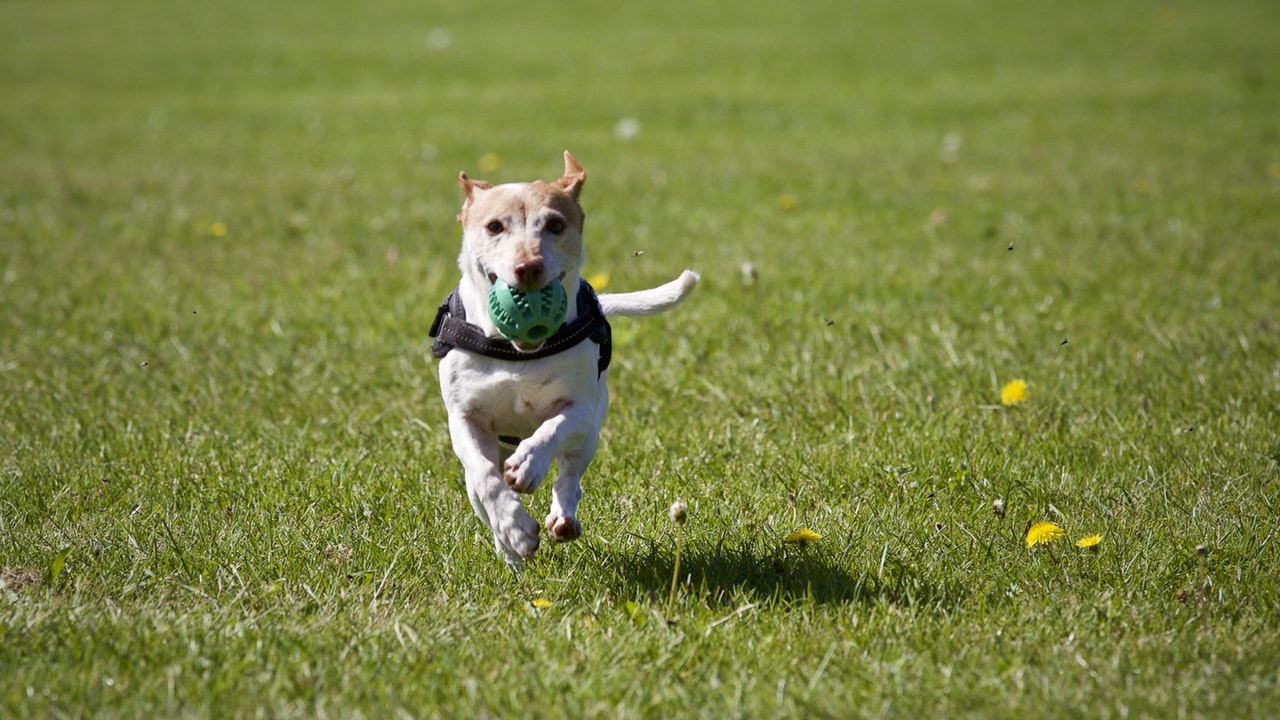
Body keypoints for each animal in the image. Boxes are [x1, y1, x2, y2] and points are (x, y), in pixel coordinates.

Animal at [430, 151, 696, 566]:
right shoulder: (464, 418)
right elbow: (487, 479)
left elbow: (551, 431)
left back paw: (562, 517)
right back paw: (510, 553)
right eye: (494, 227)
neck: (517, 354)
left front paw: (528, 464)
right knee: (481, 492)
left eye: (555, 224)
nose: (528, 267)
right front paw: (515, 529)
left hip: (591, 434)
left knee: (570, 473)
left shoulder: (581, 409)